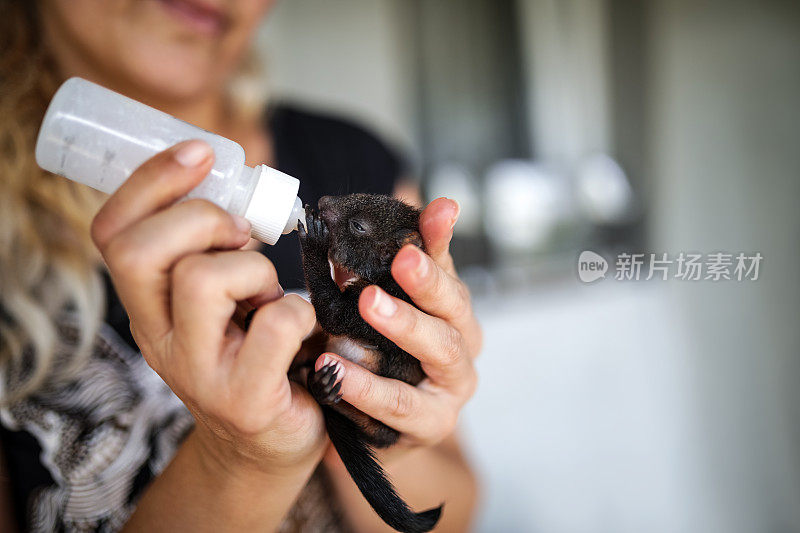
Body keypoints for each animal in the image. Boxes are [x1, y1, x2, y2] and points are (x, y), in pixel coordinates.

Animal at [298, 194, 444, 532]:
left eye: (358, 226)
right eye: (356, 196)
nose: (323, 200)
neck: (387, 277)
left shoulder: (374, 309)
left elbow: (332, 313)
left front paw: (314, 240)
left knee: (383, 436)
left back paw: (325, 390)